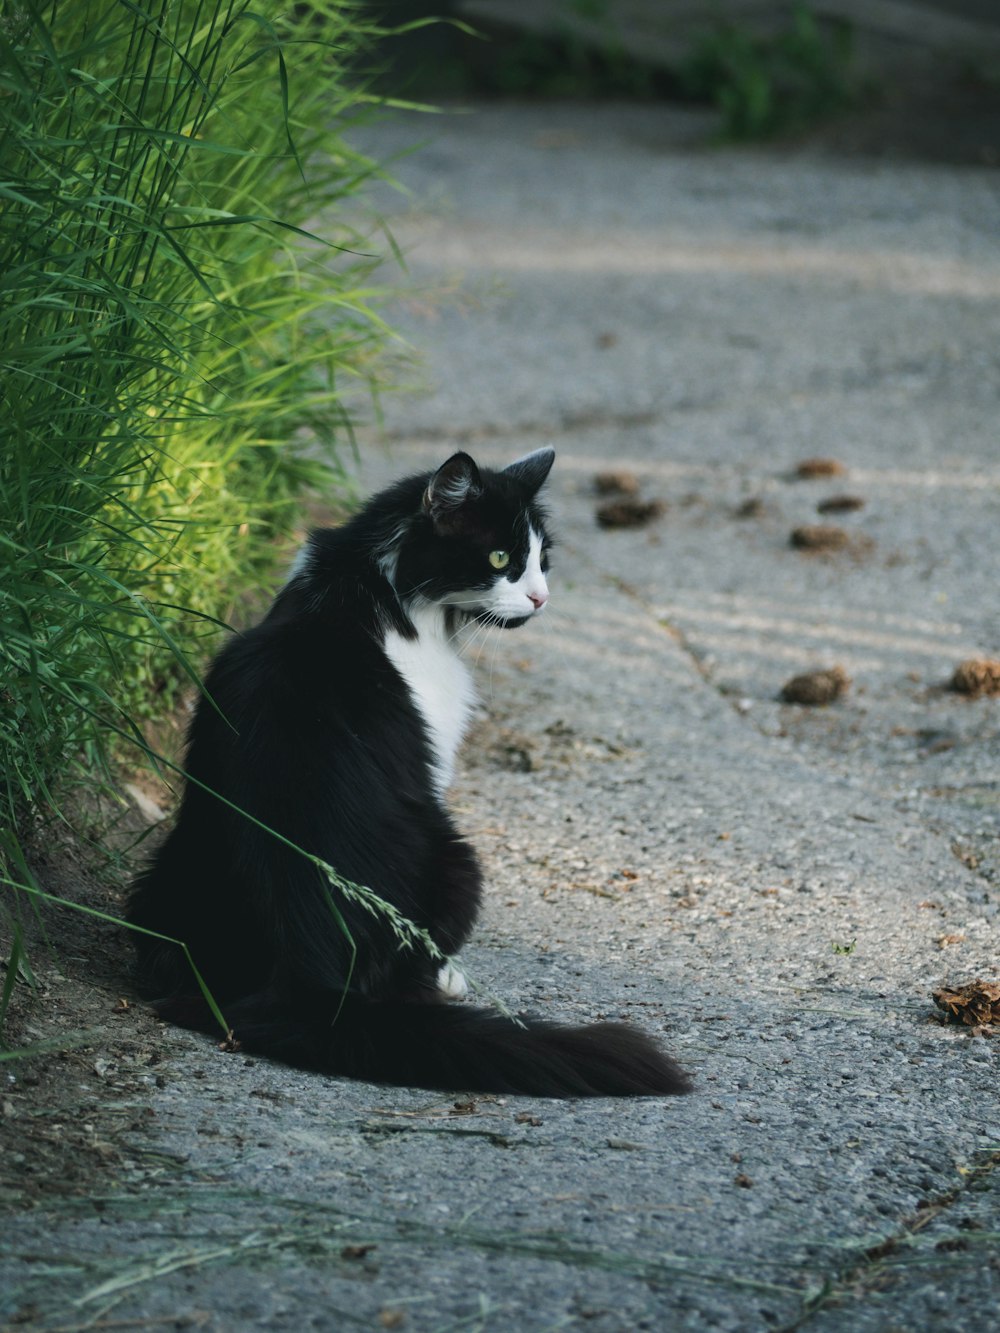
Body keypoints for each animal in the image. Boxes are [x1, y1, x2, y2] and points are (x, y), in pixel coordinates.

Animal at [129, 447, 693, 1093]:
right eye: (501, 560)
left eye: (542, 560)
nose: (541, 598)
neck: (364, 587)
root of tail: (309, 970)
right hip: (458, 856)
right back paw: (444, 982)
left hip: (164, 873)